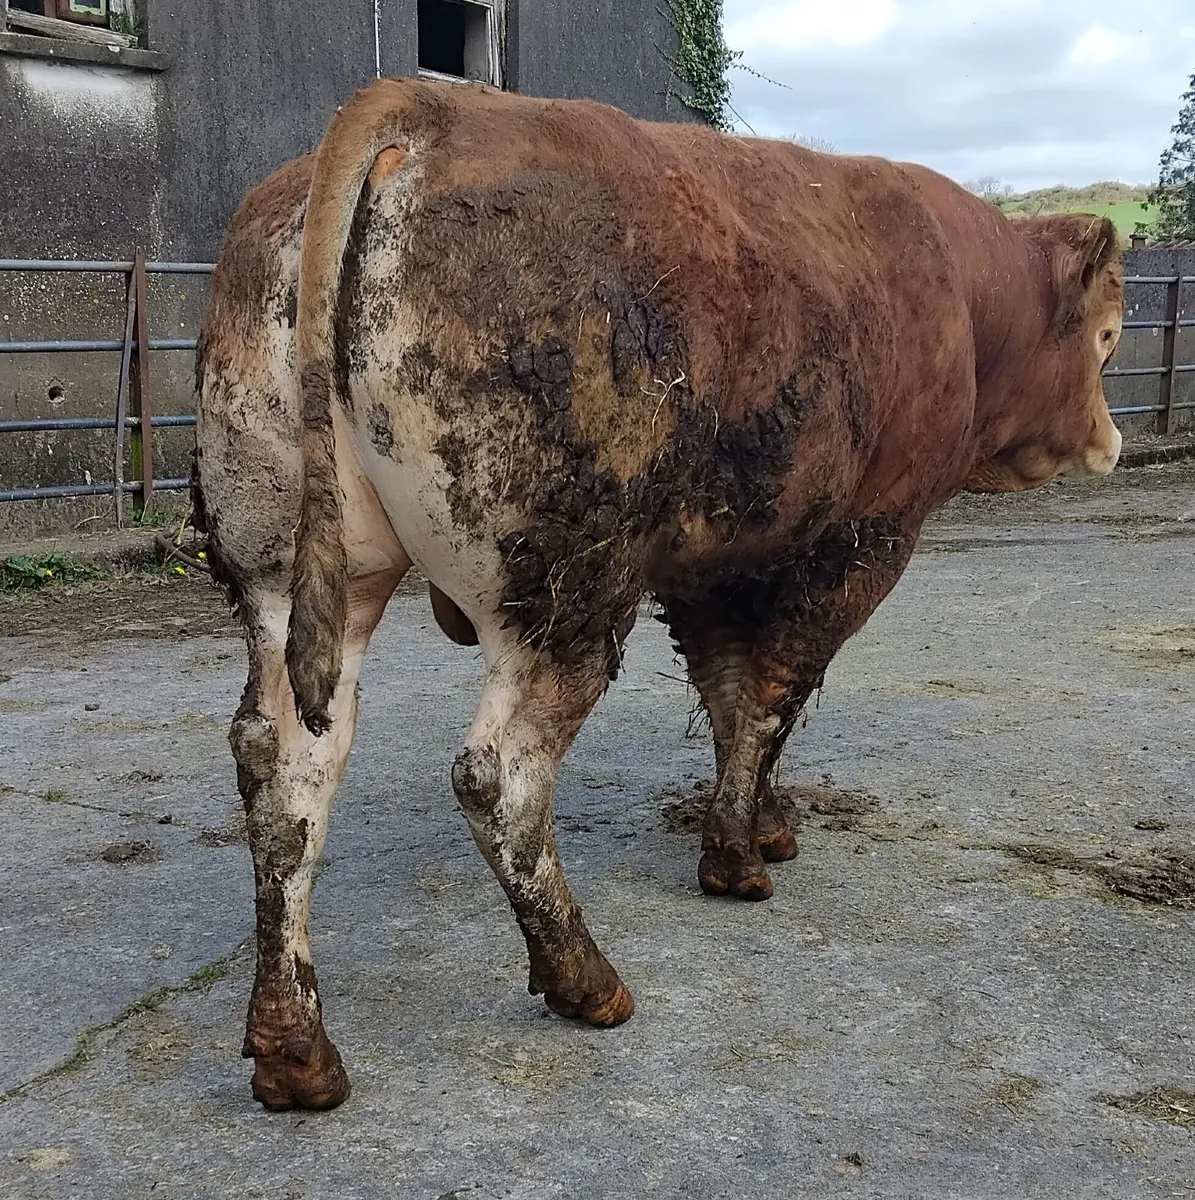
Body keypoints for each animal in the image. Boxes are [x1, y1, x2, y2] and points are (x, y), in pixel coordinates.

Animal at [194, 77, 1124, 1112]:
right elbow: (773, 695)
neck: (963, 296)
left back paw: (294, 1051)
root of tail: (419, 104)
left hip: (293, 573)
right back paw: (582, 979)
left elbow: (728, 695)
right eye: (1108, 335)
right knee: (498, 774)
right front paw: (737, 857)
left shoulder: (710, 561)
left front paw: (760, 823)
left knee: (284, 771)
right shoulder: (863, 541)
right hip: (564, 593)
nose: (1111, 441)